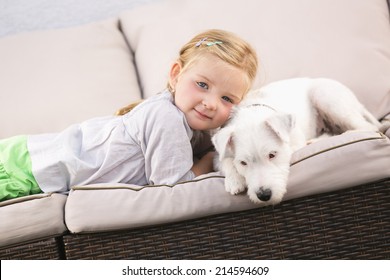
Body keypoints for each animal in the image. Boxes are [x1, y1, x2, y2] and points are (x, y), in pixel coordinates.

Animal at [213, 77, 380, 205]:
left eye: (272, 155)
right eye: (243, 163)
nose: (264, 195)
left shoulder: (296, 144)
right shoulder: (218, 154)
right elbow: (226, 161)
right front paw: (234, 180)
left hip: (326, 97)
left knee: (368, 127)